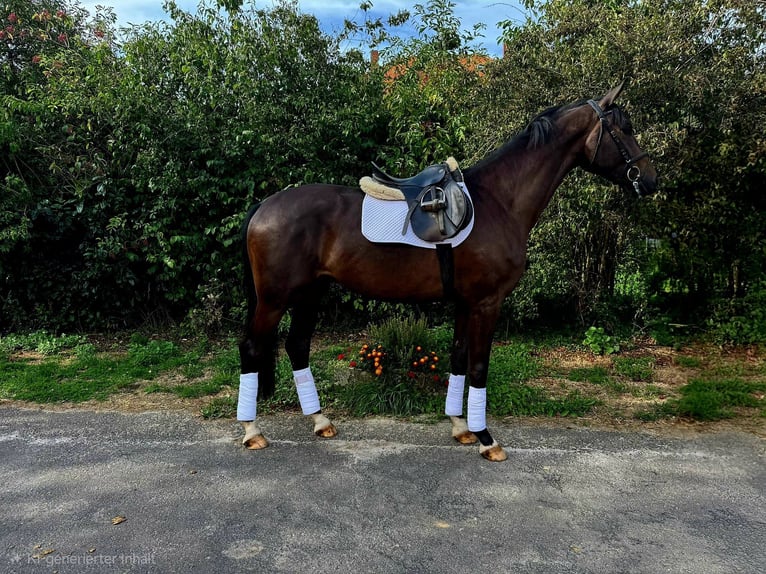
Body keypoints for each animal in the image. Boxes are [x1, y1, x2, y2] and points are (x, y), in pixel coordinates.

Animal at [236, 83, 657, 461]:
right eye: (623, 128)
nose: (649, 179)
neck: (499, 201)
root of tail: (264, 206)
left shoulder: (465, 302)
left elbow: (458, 357)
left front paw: (460, 428)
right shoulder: (487, 303)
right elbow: (479, 366)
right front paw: (487, 439)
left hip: (310, 293)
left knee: (297, 346)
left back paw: (321, 421)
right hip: (274, 298)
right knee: (253, 346)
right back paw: (252, 431)